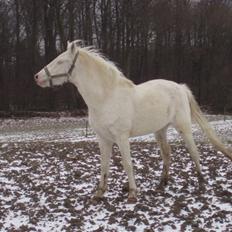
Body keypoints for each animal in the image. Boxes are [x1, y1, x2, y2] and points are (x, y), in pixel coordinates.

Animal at [34, 40, 232, 202]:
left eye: (60, 61)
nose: (37, 77)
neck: (106, 98)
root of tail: (181, 87)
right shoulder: (103, 139)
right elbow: (104, 164)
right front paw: (99, 193)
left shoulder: (121, 138)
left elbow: (127, 164)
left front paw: (132, 194)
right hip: (160, 130)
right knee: (166, 153)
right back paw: (162, 183)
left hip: (183, 128)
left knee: (194, 152)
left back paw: (201, 183)